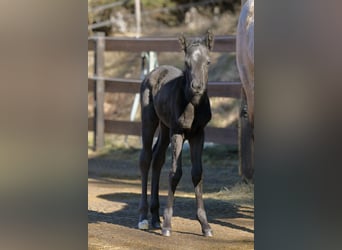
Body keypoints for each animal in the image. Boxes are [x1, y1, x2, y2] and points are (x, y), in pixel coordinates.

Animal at [138, 30, 214, 236]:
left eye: (208, 62)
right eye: (186, 63)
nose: (197, 87)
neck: (193, 104)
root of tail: (154, 72)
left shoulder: (198, 134)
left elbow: (197, 173)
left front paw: (205, 225)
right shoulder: (178, 132)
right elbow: (175, 173)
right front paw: (167, 225)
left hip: (165, 129)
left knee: (157, 159)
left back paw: (155, 218)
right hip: (150, 121)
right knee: (146, 159)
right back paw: (144, 218)